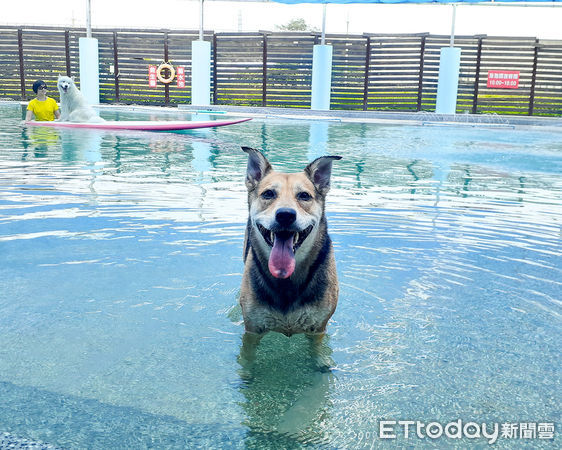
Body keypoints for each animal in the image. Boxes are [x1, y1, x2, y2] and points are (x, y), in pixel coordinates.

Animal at [237, 148, 340, 356]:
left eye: (304, 196)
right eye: (268, 194)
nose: (285, 215)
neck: (287, 281)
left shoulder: (318, 328)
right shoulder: (252, 328)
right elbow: (248, 357)